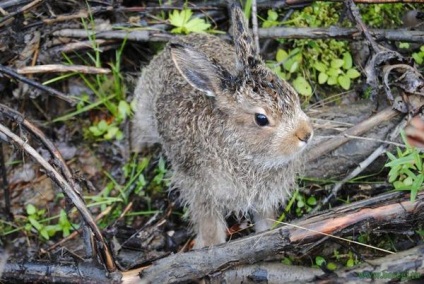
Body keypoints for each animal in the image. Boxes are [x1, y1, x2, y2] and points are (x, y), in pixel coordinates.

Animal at [132, 1, 314, 248]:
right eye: (261, 119)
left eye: (294, 94)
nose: (306, 134)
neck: (239, 149)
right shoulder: (200, 190)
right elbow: (209, 223)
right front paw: (211, 245)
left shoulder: (264, 197)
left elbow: (264, 216)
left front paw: (266, 231)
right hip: (145, 111)